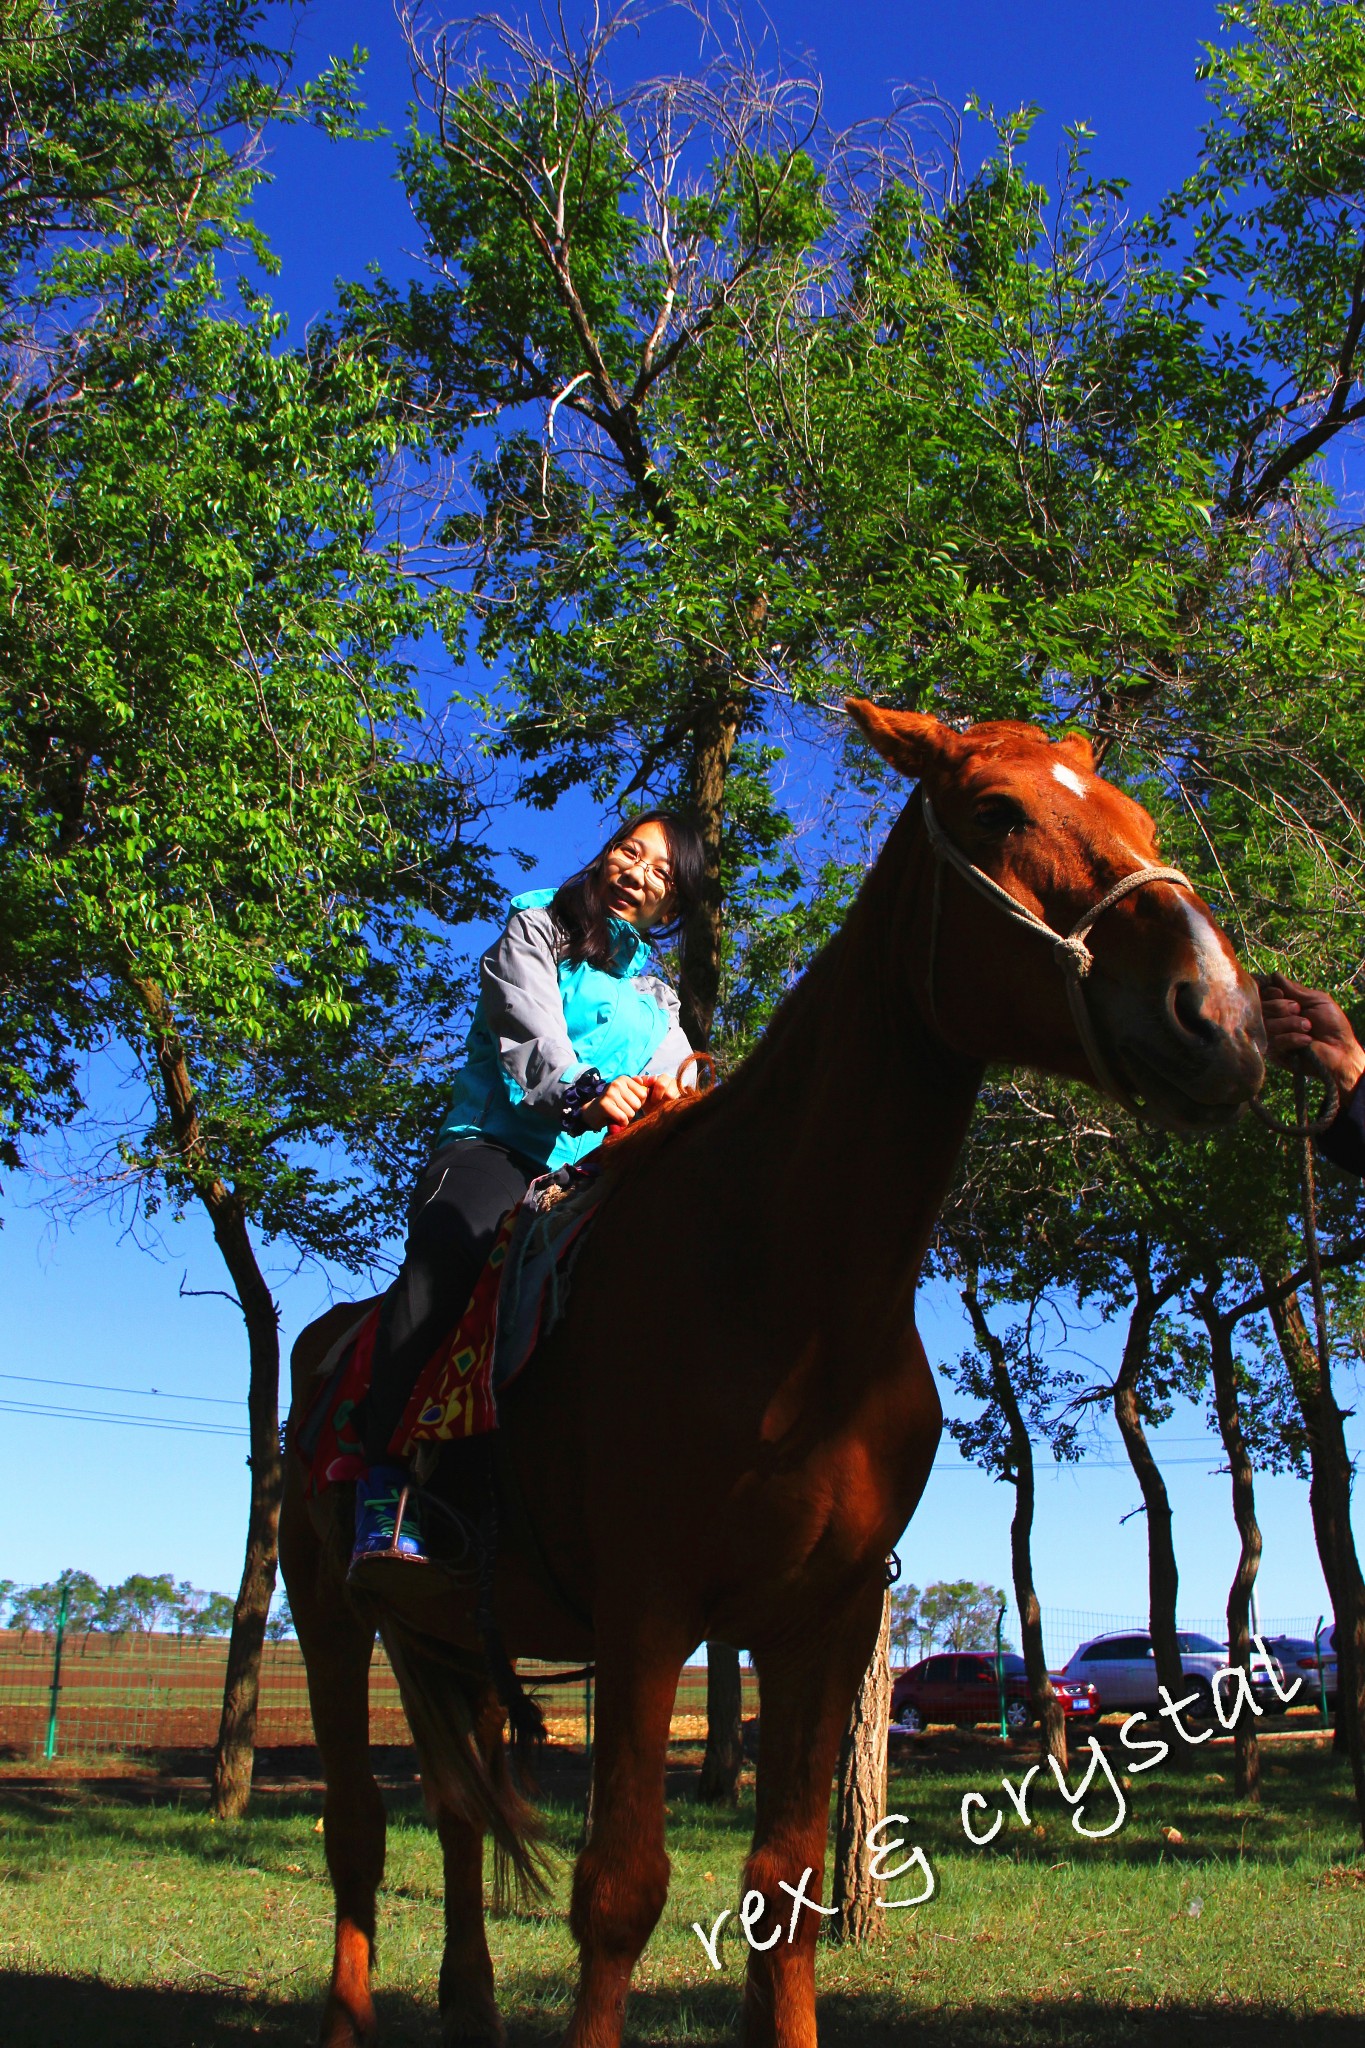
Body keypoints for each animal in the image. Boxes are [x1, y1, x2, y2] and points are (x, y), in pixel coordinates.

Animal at [280, 704, 1268, 2048]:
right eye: (997, 812)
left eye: (1145, 820)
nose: (1220, 1018)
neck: (783, 1286)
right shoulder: (648, 1612)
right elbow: (619, 1889)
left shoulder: (825, 1619)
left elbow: (788, 1886)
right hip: (330, 1613)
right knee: (358, 1833)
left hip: (456, 1638)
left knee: (461, 1814)